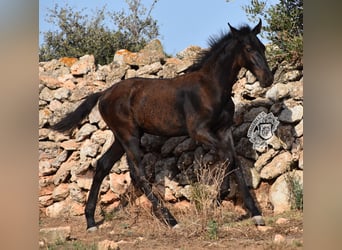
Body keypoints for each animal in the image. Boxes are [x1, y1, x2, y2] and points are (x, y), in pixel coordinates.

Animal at [51, 20, 272, 232]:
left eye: (262, 47)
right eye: (248, 48)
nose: (267, 79)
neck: (211, 88)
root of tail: (104, 94)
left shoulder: (224, 131)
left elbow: (232, 160)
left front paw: (249, 211)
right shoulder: (199, 131)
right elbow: (228, 158)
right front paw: (220, 201)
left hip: (121, 138)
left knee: (103, 165)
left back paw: (90, 221)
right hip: (129, 136)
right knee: (138, 175)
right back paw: (171, 220)